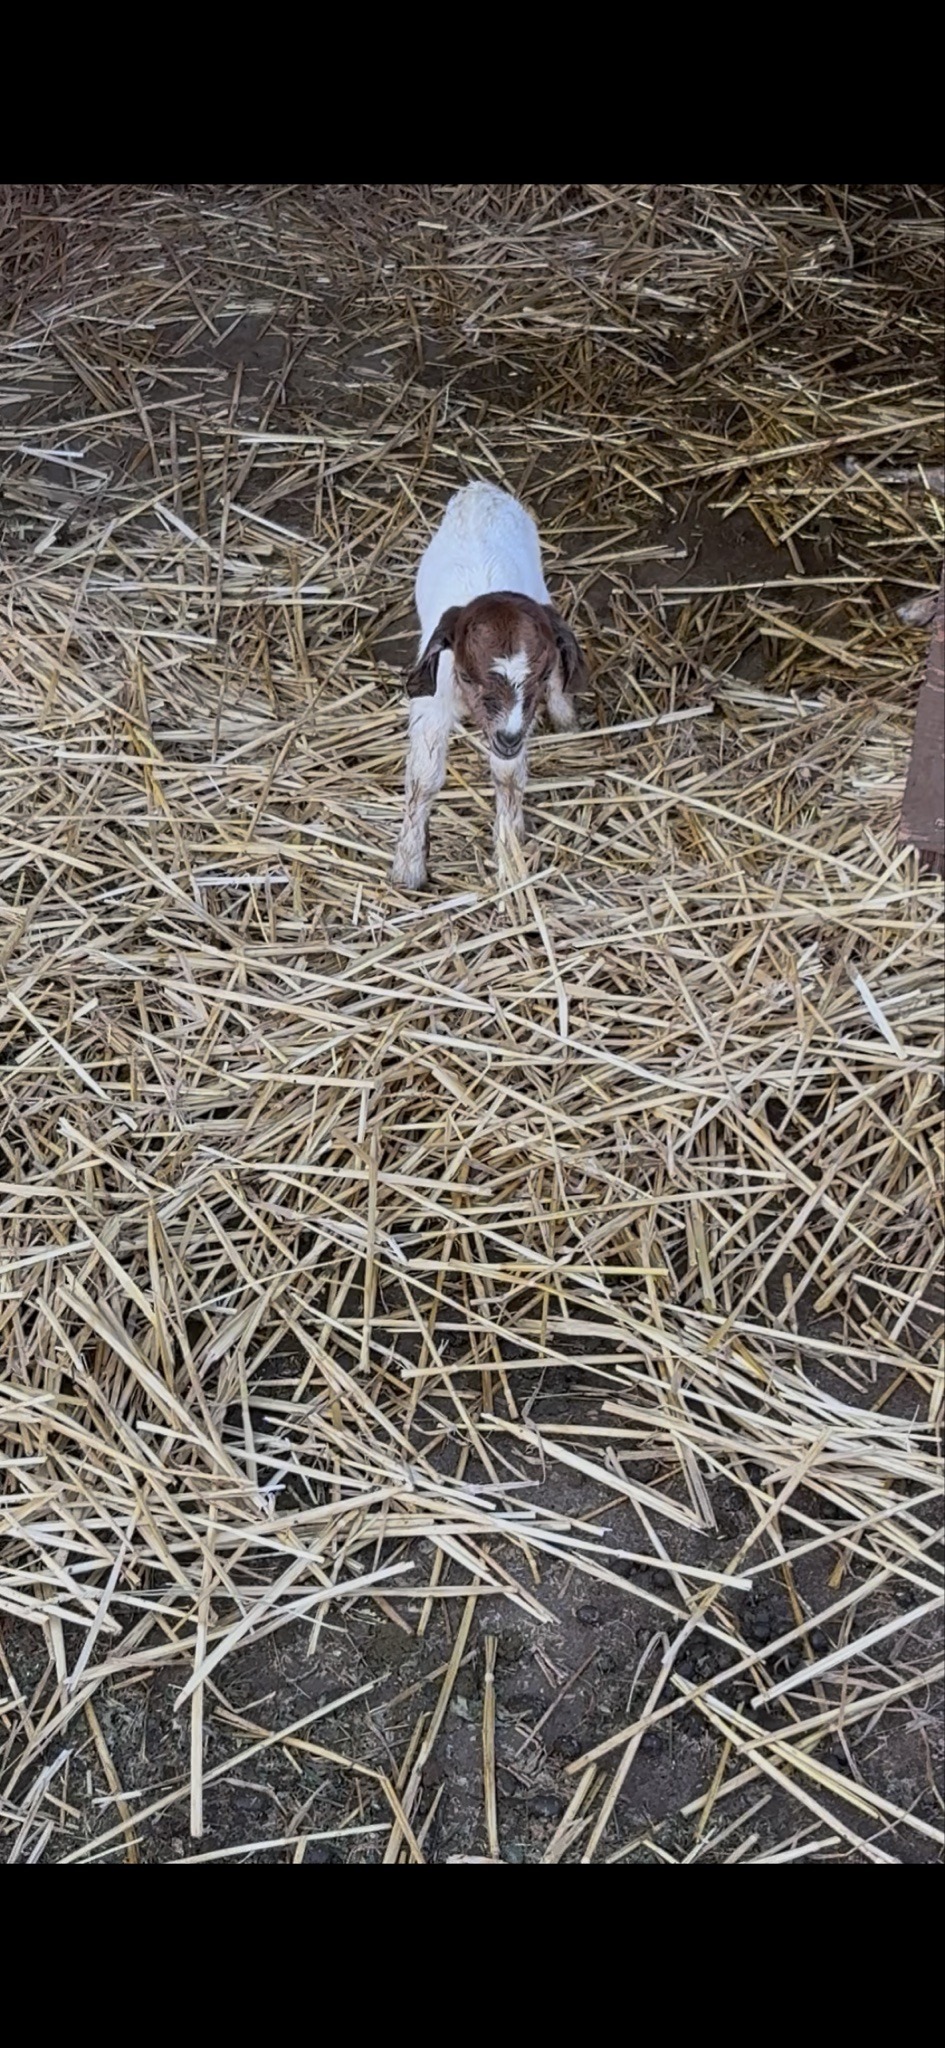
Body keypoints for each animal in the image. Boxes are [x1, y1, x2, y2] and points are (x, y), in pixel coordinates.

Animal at [390, 481, 585, 890]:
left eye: (538, 676)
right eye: (467, 675)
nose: (508, 739)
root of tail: (480, 488)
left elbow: (508, 777)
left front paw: (510, 856)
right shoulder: (433, 704)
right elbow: (423, 778)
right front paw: (408, 867)